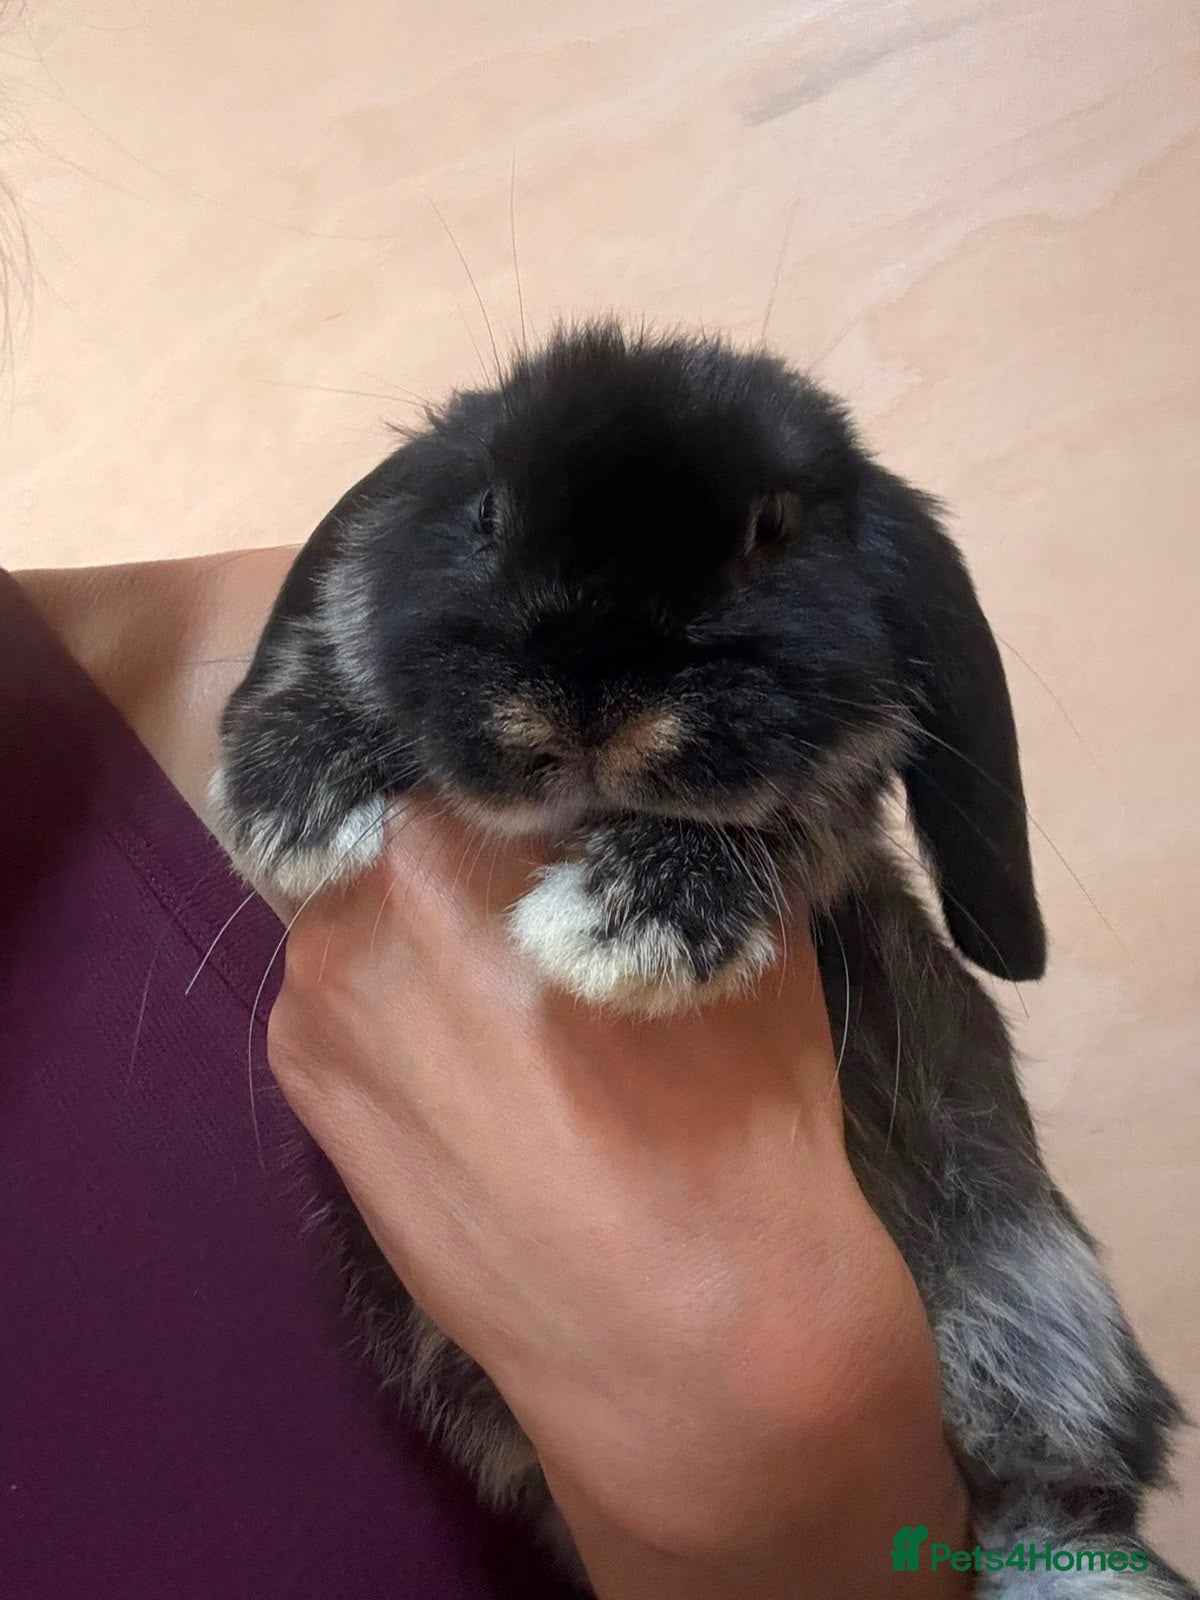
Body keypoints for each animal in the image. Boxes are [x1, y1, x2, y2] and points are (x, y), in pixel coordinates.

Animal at [213, 322, 1195, 1595]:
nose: (584, 702)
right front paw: (290, 785)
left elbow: (789, 822)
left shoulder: (822, 814)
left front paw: (623, 924)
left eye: (771, 527)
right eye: (486, 511)